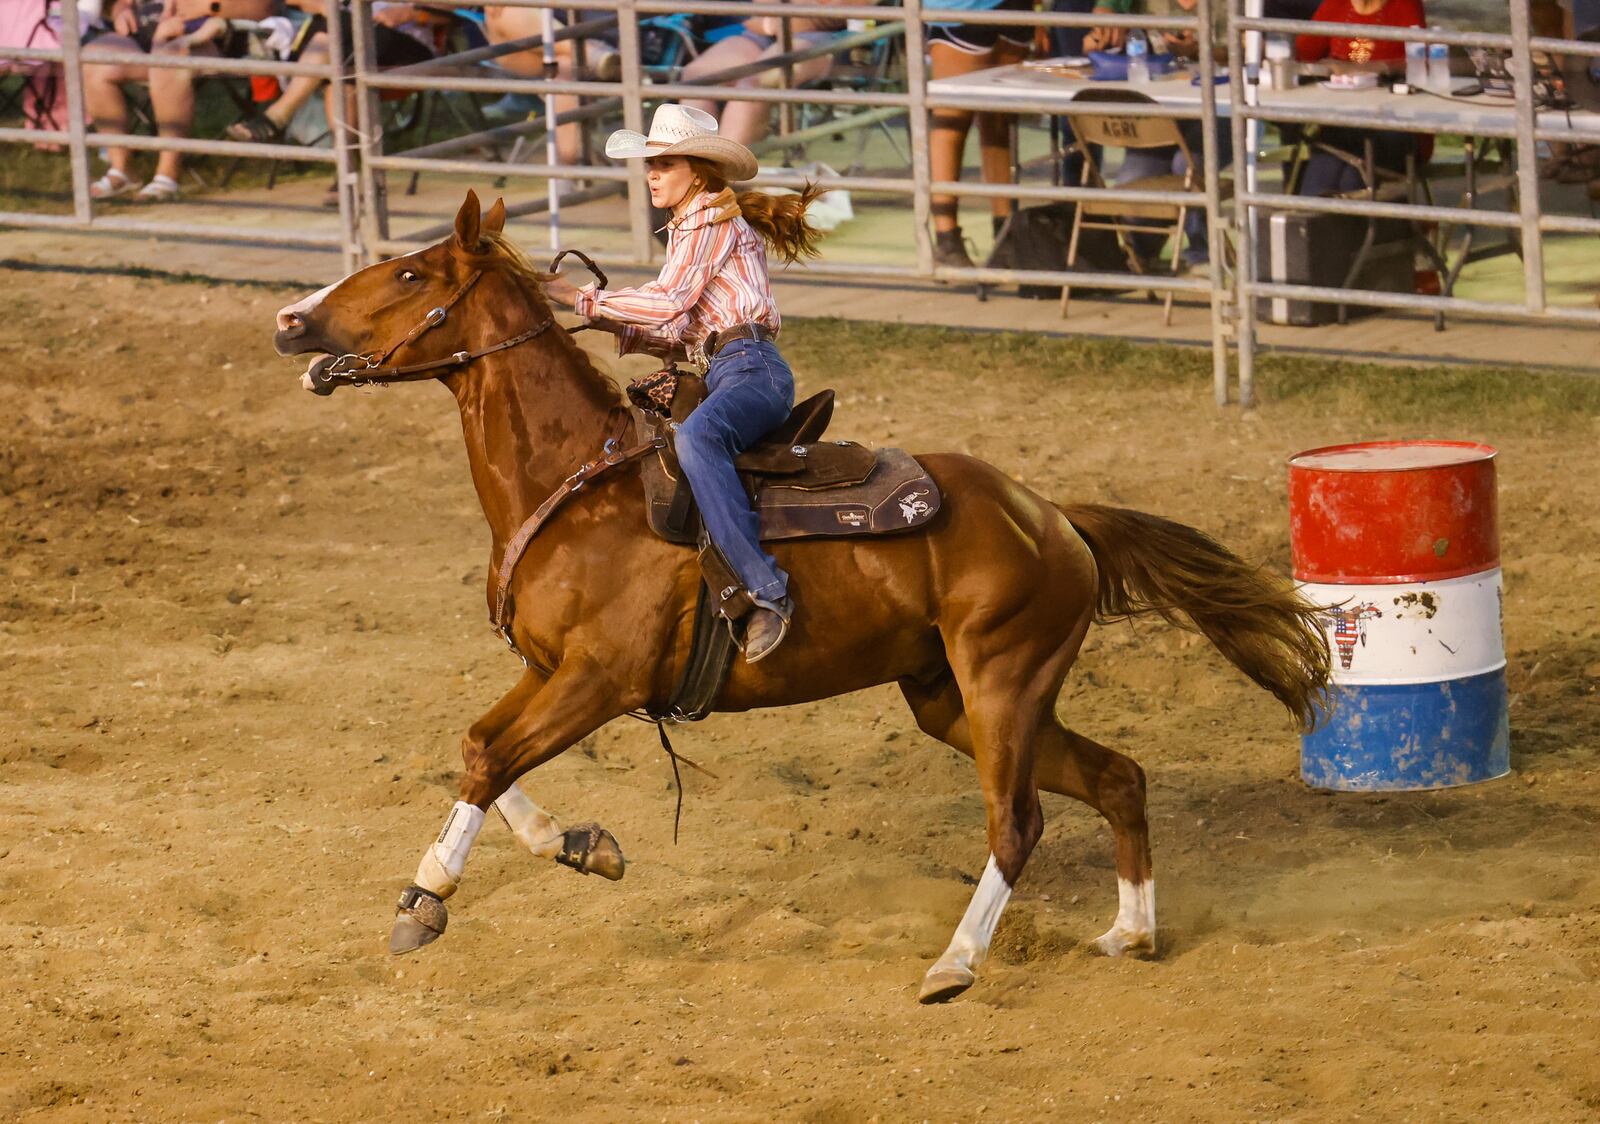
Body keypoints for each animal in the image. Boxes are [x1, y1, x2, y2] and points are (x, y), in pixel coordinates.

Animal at [272, 191, 1324, 1005]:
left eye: (411, 275)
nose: (289, 320)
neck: (575, 483)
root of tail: (1052, 515)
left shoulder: (599, 681)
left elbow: (489, 759)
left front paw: (424, 900)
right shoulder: (549, 669)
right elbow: (481, 751)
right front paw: (582, 844)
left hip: (1001, 682)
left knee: (1016, 822)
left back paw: (954, 964)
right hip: (954, 698)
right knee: (1119, 778)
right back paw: (1129, 935)